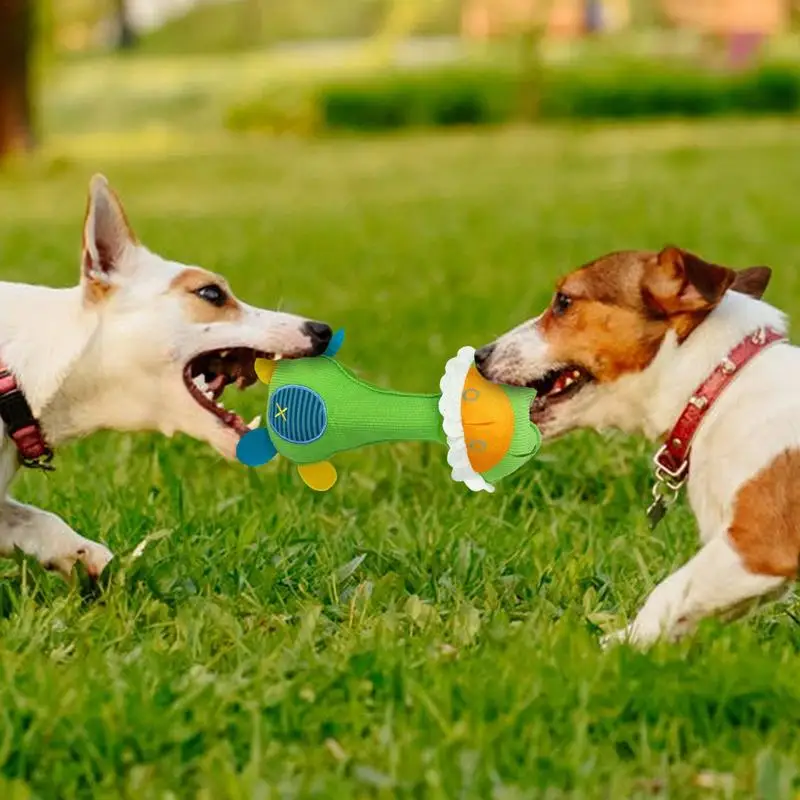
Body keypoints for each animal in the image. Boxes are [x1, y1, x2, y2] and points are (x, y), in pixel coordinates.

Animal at [478, 250, 796, 648]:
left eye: (563, 301)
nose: (479, 355)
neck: (716, 388)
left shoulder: (757, 546)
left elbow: (669, 589)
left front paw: (617, 644)